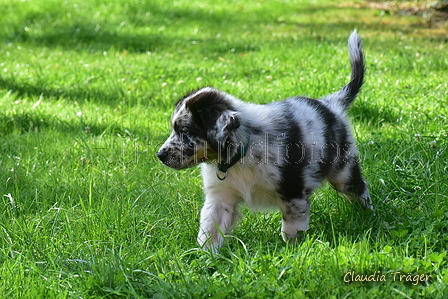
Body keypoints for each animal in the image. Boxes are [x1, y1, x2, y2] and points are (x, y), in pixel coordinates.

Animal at [156, 31, 372, 253]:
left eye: (184, 130)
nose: (160, 155)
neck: (240, 155)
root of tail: (331, 104)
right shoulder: (220, 197)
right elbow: (209, 229)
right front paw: (204, 256)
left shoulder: (293, 192)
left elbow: (291, 229)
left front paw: (292, 251)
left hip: (343, 171)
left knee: (360, 190)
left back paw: (367, 216)